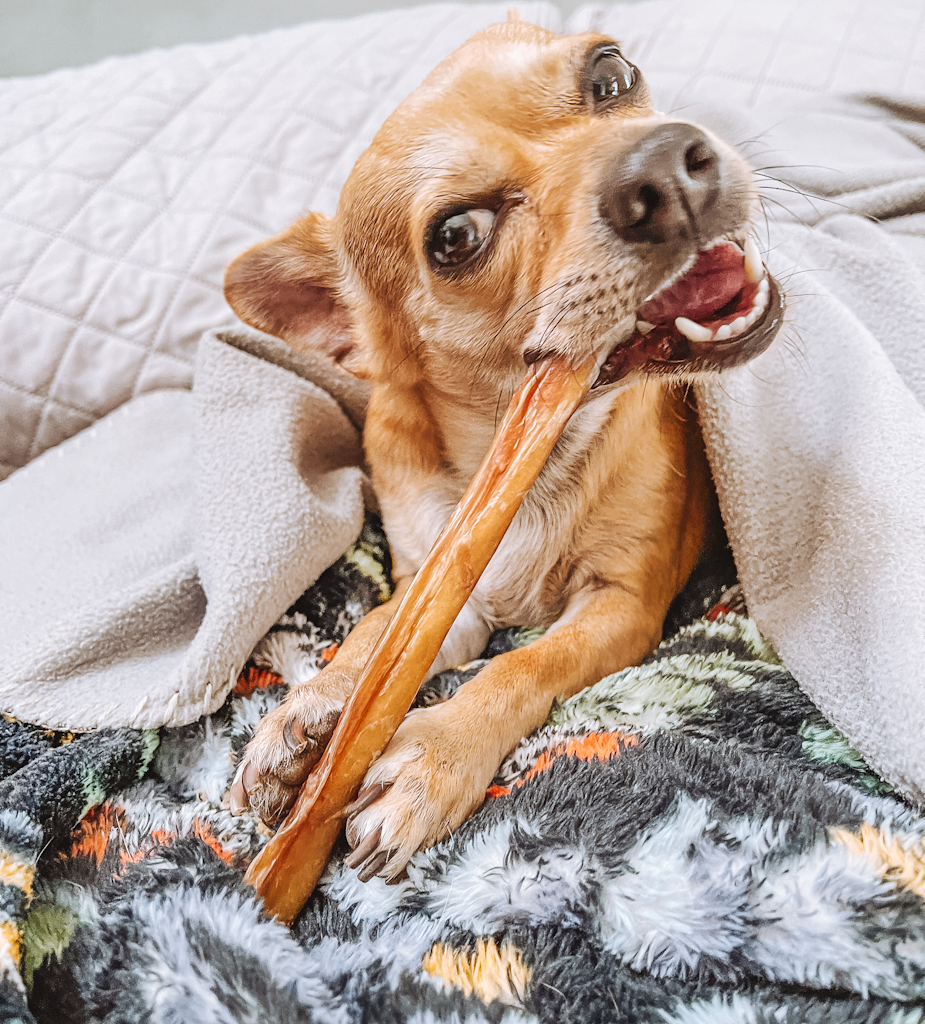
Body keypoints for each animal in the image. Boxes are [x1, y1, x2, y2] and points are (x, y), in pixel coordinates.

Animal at [222, 14, 782, 880]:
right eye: (455, 237)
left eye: (611, 75)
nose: (663, 162)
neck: (525, 459)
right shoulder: (440, 597)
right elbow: (375, 636)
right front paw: (309, 710)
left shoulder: (619, 606)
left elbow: (526, 663)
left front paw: (436, 754)